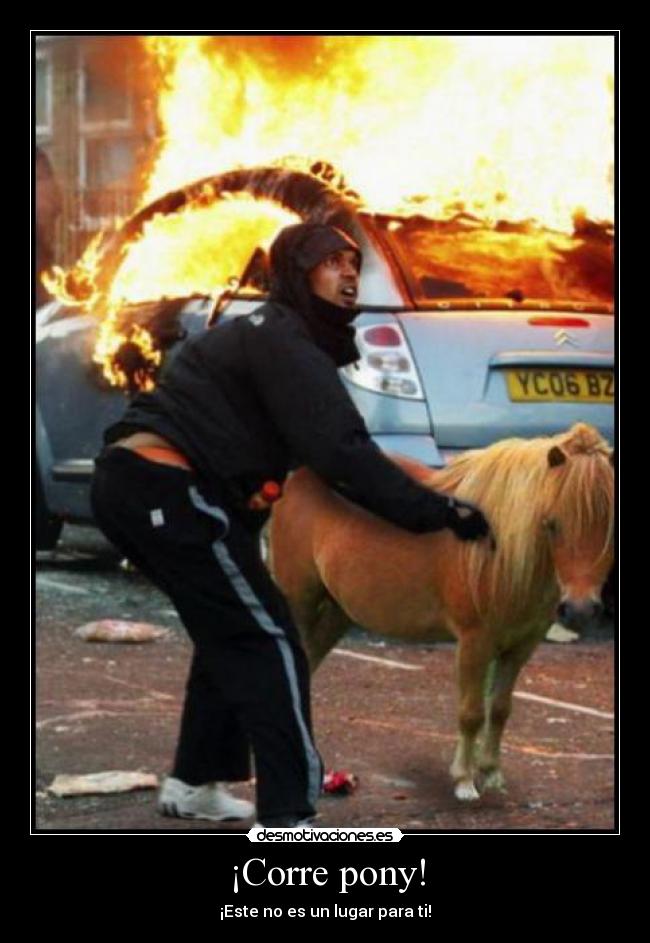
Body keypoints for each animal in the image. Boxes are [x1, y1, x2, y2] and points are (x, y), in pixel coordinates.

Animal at [269, 423, 614, 801]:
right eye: (552, 524)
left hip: (336, 614)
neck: (499, 550)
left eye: (611, 526)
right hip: (298, 602)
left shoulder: (521, 647)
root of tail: (300, 475)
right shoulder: (475, 642)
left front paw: (492, 774)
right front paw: (464, 781)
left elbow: (500, 709)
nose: (579, 609)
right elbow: (471, 712)